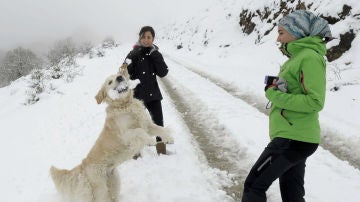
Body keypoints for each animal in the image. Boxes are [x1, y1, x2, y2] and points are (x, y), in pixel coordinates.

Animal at [50, 64, 174, 202]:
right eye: (110, 82)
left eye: (118, 75)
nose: (120, 77)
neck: (125, 105)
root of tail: (82, 165)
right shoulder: (126, 135)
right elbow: (139, 131)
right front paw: (150, 140)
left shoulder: (147, 124)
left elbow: (159, 128)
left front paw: (168, 138)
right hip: (101, 189)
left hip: (114, 181)